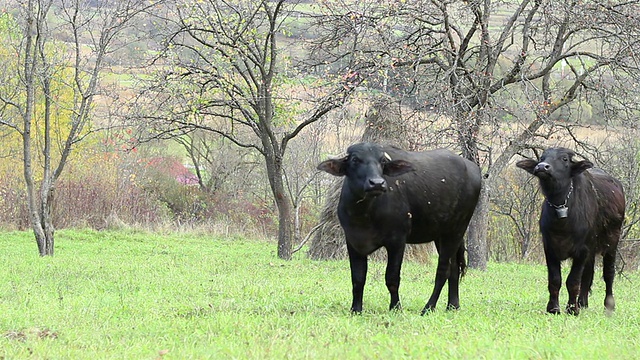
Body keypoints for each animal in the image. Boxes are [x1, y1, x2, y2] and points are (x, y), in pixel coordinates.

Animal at [318, 142, 482, 314]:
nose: (377, 183)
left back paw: (428, 307)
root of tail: (472, 168)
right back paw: (452, 306)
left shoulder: (397, 241)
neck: (365, 213)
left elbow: (392, 277)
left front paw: (395, 307)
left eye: (382, 161)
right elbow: (358, 278)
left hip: (457, 230)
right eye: (355, 160)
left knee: (443, 270)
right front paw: (356, 309)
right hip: (441, 235)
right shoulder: (353, 242)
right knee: (454, 268)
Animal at [516, 146, 624, 316]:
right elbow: (555, 280)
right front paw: (553, 308)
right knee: (588, 274)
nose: (542, 167)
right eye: (541, 158)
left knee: (609, 274)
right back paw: (583, 302)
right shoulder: (550, 248)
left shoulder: (582, 250)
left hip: (612, 242)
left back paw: (608, 306)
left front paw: (572, 309)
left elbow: (573, 281)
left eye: (564, 159)